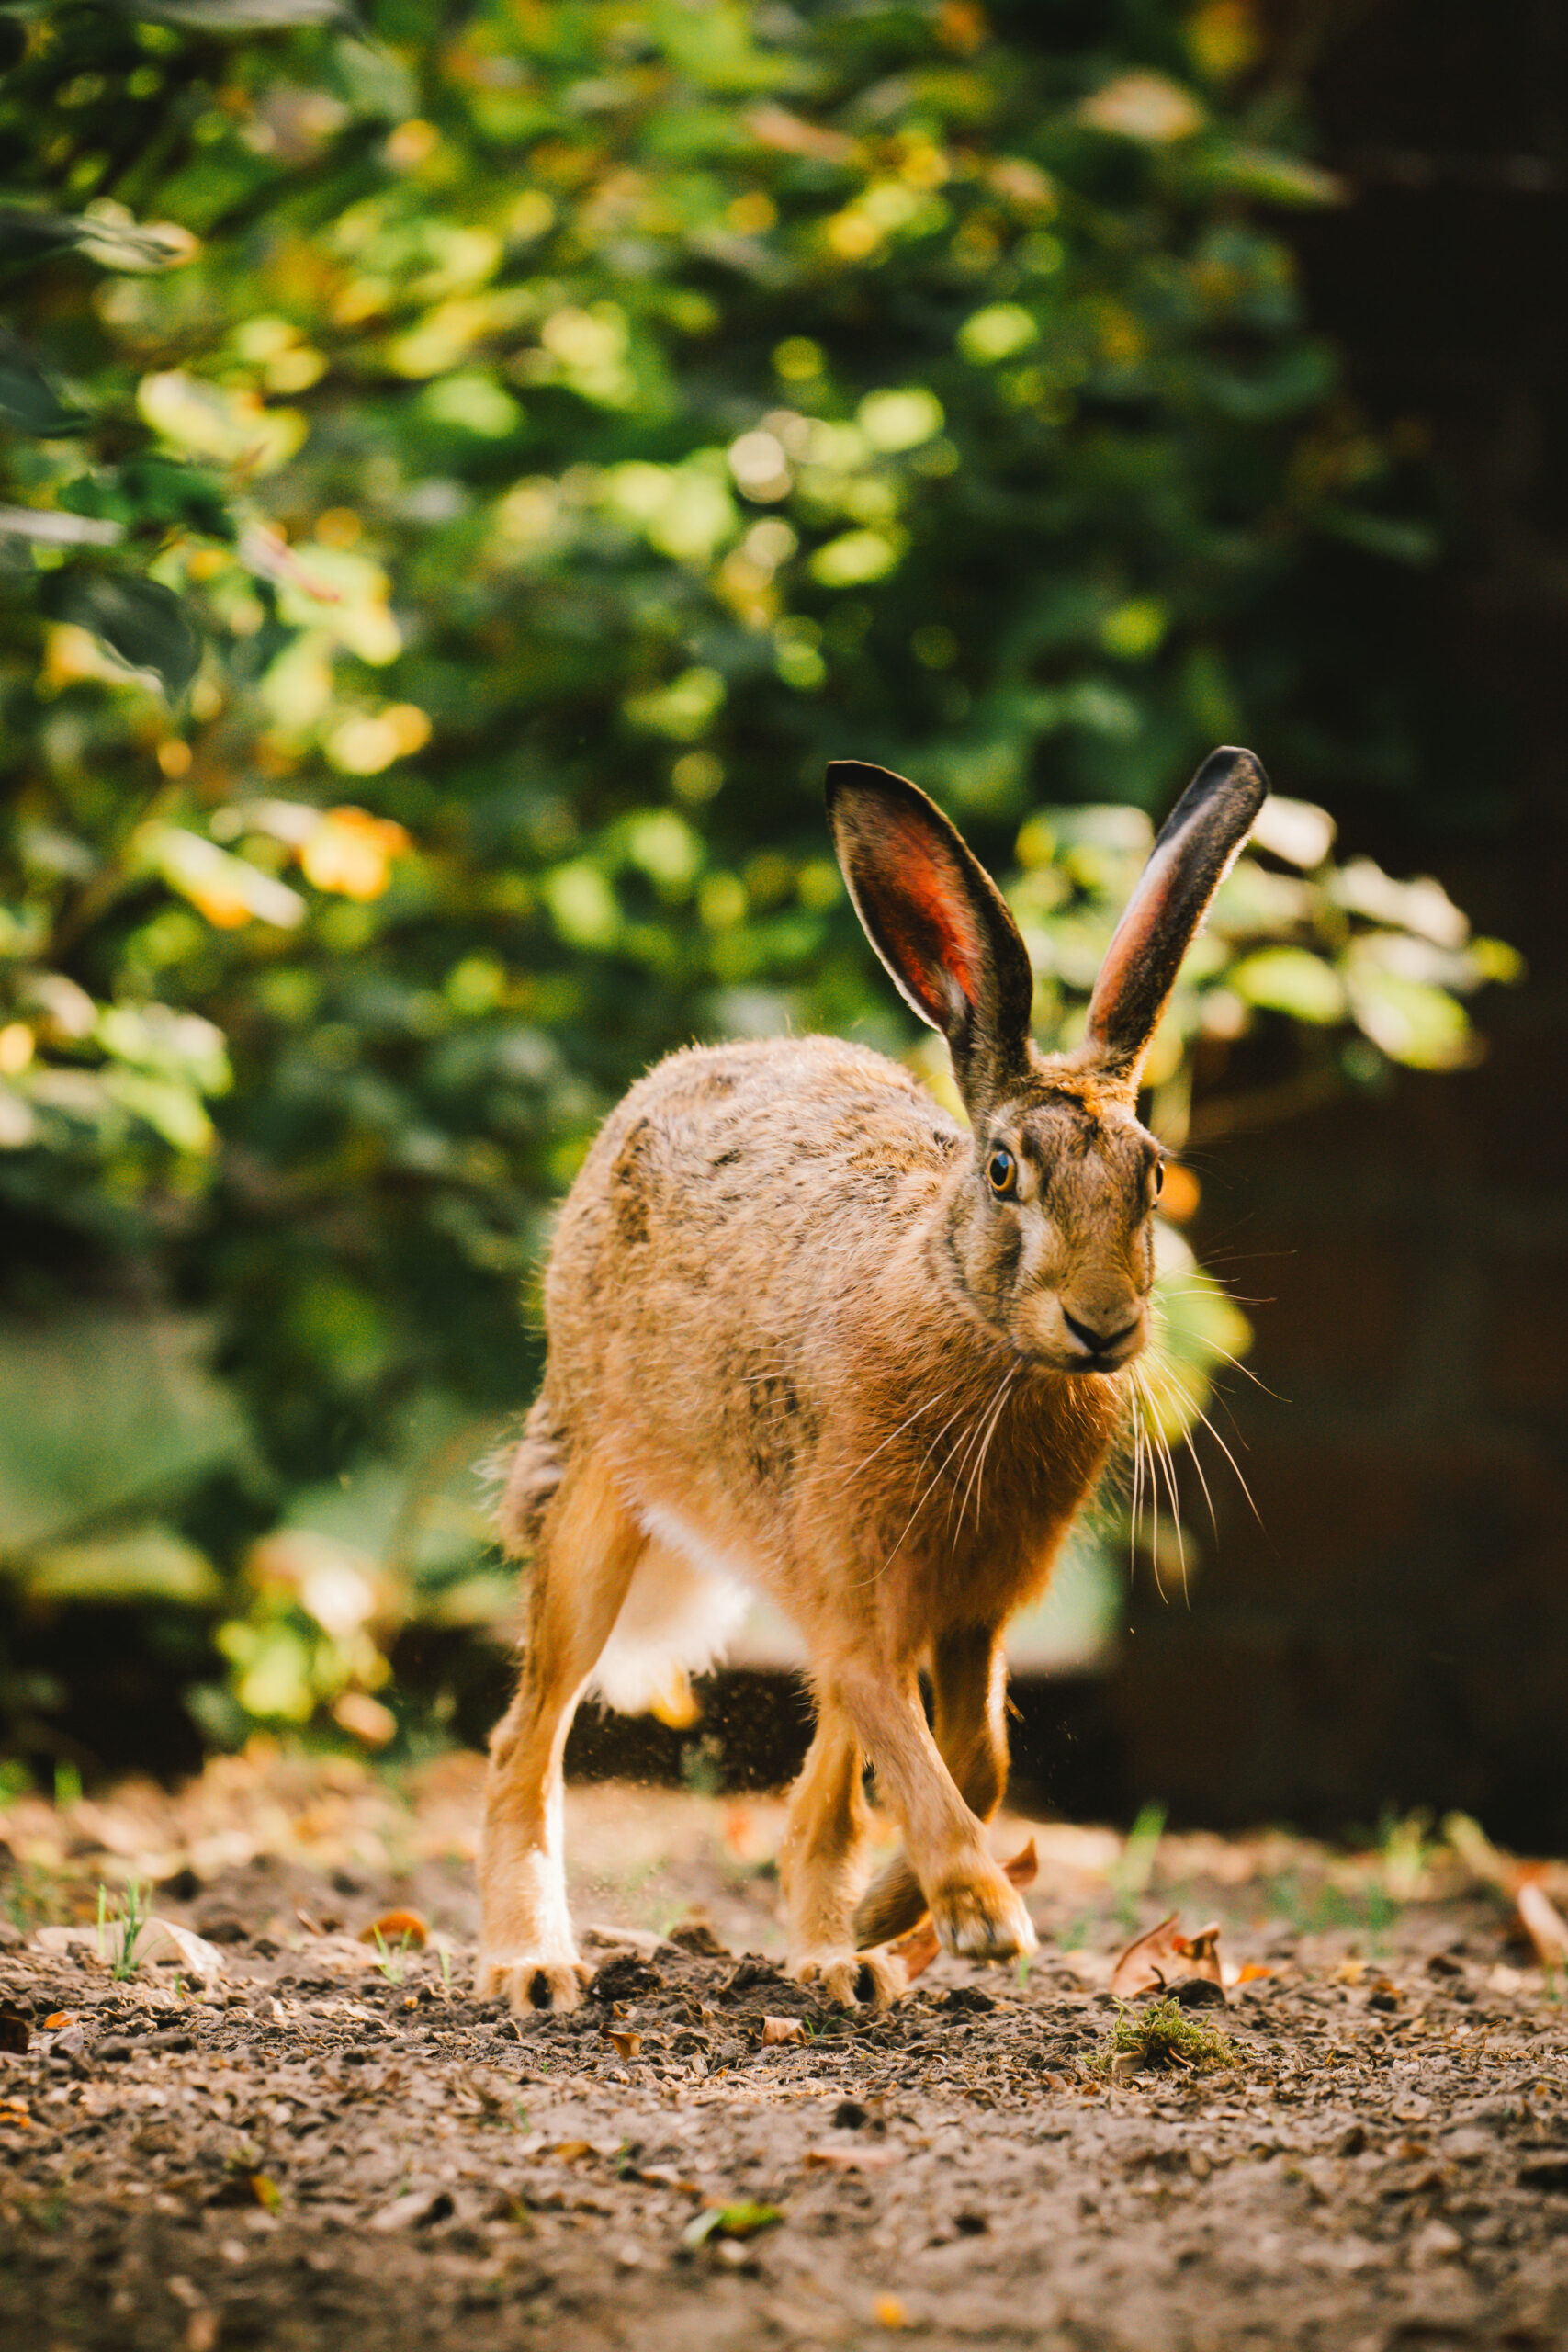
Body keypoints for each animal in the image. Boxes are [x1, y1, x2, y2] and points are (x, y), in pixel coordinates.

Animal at [477, 745, 1267, 2012]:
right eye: (1003, 1171)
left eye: (1153, 1176)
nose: (1102, 1326)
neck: (963, 1315)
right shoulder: (855, 1588)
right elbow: (910, 1739)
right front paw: (983, 1914)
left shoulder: (973, 1605)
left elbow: (977, 1756)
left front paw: (901, 1908)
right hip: (603, 1506)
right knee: (530, 1735)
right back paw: (533, 1966)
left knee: (827, 1785)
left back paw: (837, 1956)